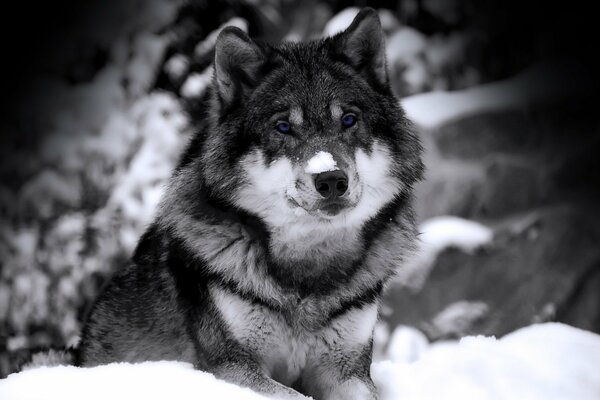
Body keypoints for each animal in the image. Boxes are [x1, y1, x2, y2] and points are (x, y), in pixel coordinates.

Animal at [76, 7, 422, 398]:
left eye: (348, 120)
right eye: (283, 127)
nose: (331, 179)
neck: (307, 272)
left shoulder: (348, 371)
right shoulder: (232, 367)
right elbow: (294, 395)